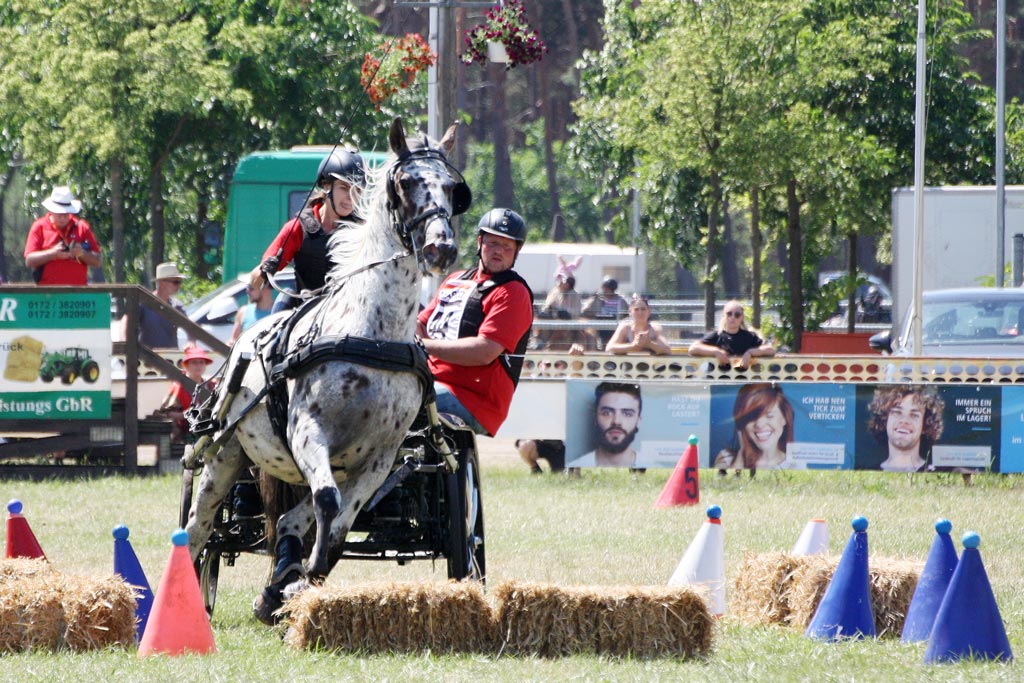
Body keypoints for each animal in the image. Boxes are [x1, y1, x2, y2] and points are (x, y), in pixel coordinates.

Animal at [186, 118, 466, 626]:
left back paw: (278, 581)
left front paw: (291, 588)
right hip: (226, 453)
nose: (440, 248)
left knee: (290, 520)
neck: (370, 333)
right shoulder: (307, 431)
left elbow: (333, 530)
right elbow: (329, 506)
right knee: (199, 530)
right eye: (406, 183)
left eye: (453, 189)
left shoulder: (380, 459)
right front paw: (294, 582)